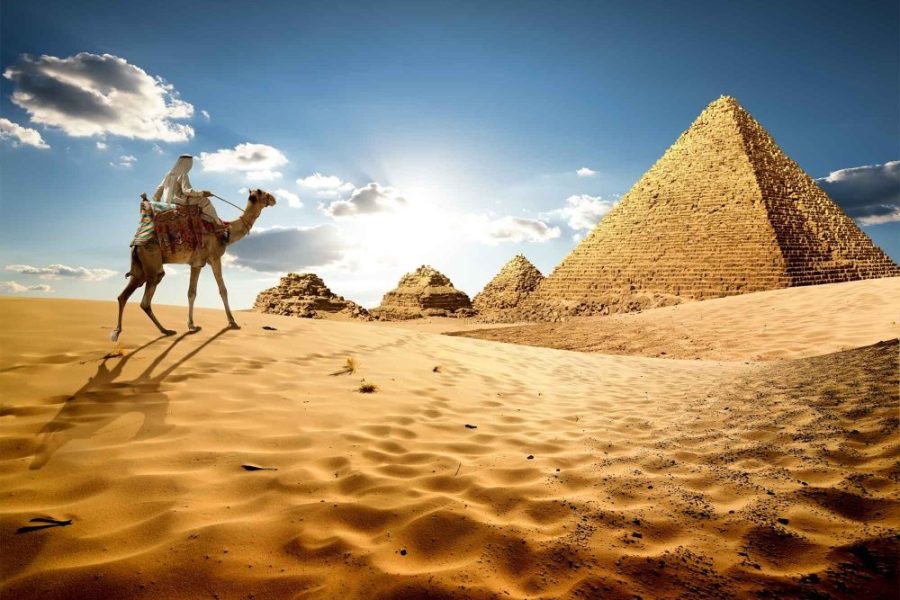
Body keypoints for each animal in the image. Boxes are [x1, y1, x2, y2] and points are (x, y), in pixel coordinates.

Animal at [111, 189, 277, 342]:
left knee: (123, 296)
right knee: (145, 300)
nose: (274, 199)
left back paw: (119, 332)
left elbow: (192, 292)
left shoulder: (196, 263)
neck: (226, 232)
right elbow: (221, 290)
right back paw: (165, 330)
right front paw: (232, 322)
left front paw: (191, 325)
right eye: (263, 193)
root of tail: (136, 242)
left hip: (140, 267)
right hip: (151, 261)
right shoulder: (213, 258)